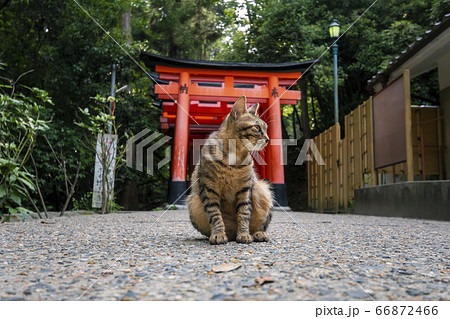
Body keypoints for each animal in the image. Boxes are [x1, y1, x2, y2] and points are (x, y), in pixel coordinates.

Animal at [187, 95, 274, 245]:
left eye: (266, 128)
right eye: (257, 127)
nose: (268, 139)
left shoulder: (245, 189)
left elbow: (244, 213)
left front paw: (244, 234)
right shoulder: (209, 189)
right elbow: (215, 215)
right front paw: (218, 234)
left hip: (261, 189)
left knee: (261, 224)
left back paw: (258, 233)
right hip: (193, 201)